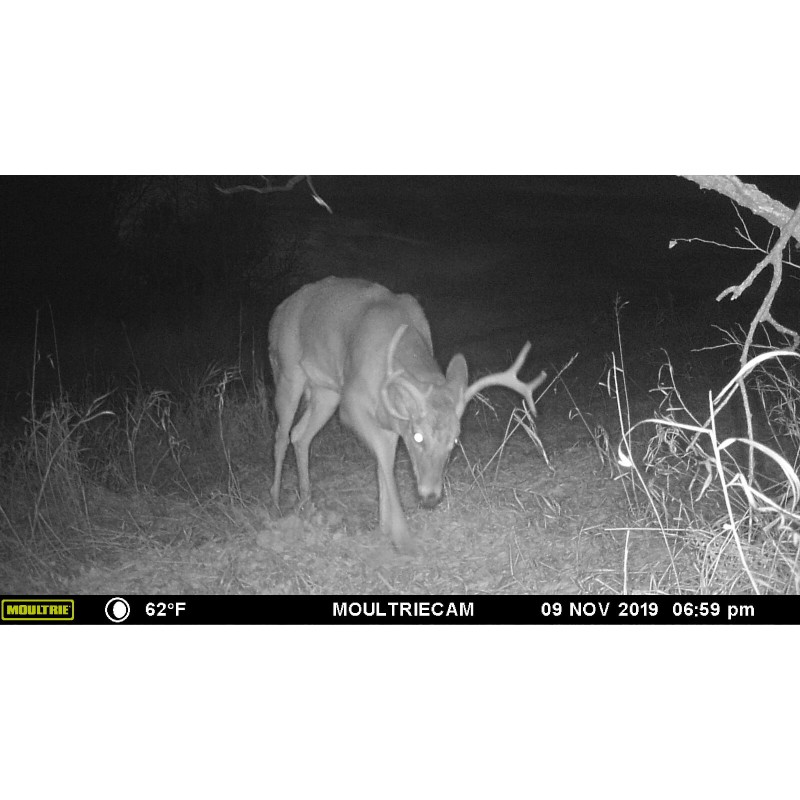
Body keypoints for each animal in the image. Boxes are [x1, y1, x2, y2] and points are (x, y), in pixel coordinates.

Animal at [268, 276, 547, 551]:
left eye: (455, 440)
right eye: (418, 437)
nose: (431, 497)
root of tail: (280, 311)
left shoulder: (390, 421)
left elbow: (383, 465)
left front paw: (384, 527)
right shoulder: (352, 405)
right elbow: (384, 459)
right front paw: (402, 537)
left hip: (326, 392)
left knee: (300, 434)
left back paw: (306, 503)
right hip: (288, 372)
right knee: (282, 435)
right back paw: (275, 501)